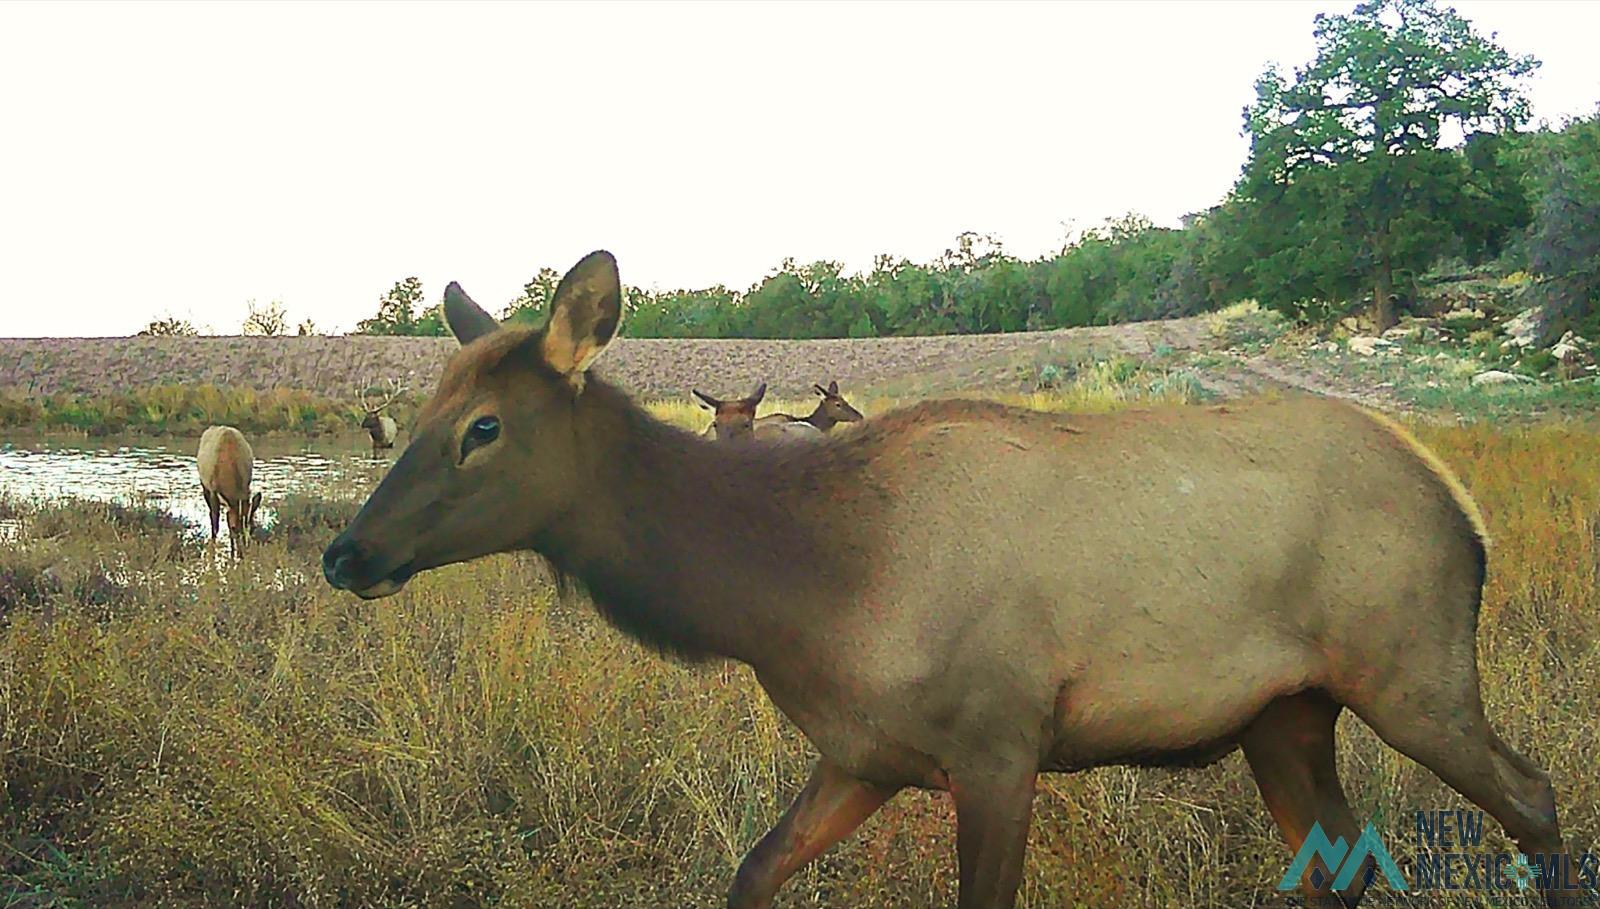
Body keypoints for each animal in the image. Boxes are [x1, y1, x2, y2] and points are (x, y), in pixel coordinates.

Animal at [318, 249, 1580, 909]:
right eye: (419, 409)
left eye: (482, 427)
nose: (346, 552)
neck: (799, 594)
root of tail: (1461, 507)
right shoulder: (864, 754)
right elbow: (751, 873)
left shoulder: (998, 740)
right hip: (1286, 711)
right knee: (1338, 860)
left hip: (1412, 666)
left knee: (1532, 796)